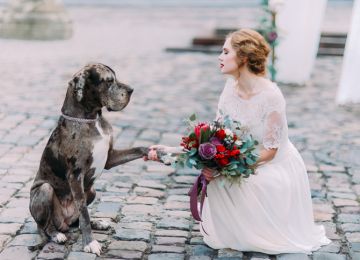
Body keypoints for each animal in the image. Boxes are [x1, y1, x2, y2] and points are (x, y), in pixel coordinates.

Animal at [28, 63, 148, 256]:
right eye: (109, 81)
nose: (131, 90)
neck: (92, 119)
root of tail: (64, 222)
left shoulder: (110, 158)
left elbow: (139, 149)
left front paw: (163, 153)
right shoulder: (75, 175)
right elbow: (84, 212)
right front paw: (90, 243)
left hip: (91, 190)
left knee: (75, 221)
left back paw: (97, 222)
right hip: (45, 191)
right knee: (44, 226)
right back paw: (56, 235)